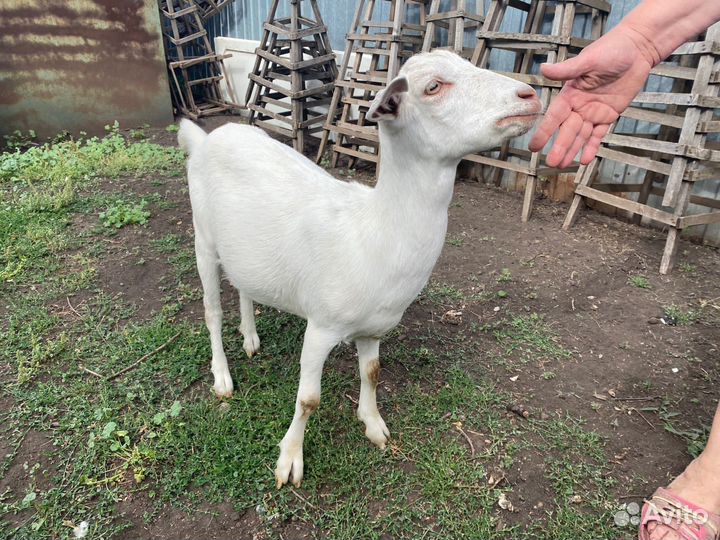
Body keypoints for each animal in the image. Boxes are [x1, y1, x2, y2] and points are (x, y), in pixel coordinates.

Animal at [178, 50, 540, 488]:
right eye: (432, 87)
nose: (529, 94)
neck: (374, 231)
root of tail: (208, 138)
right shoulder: (321, 325)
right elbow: (309, 399)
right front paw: (290, 459)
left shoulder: (375, 327)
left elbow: (372, 372)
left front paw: (373, 424)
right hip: (203, 238)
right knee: (212, 312)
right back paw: (222, 377)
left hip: (244, 250)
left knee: (244, 286)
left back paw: (250, 337)